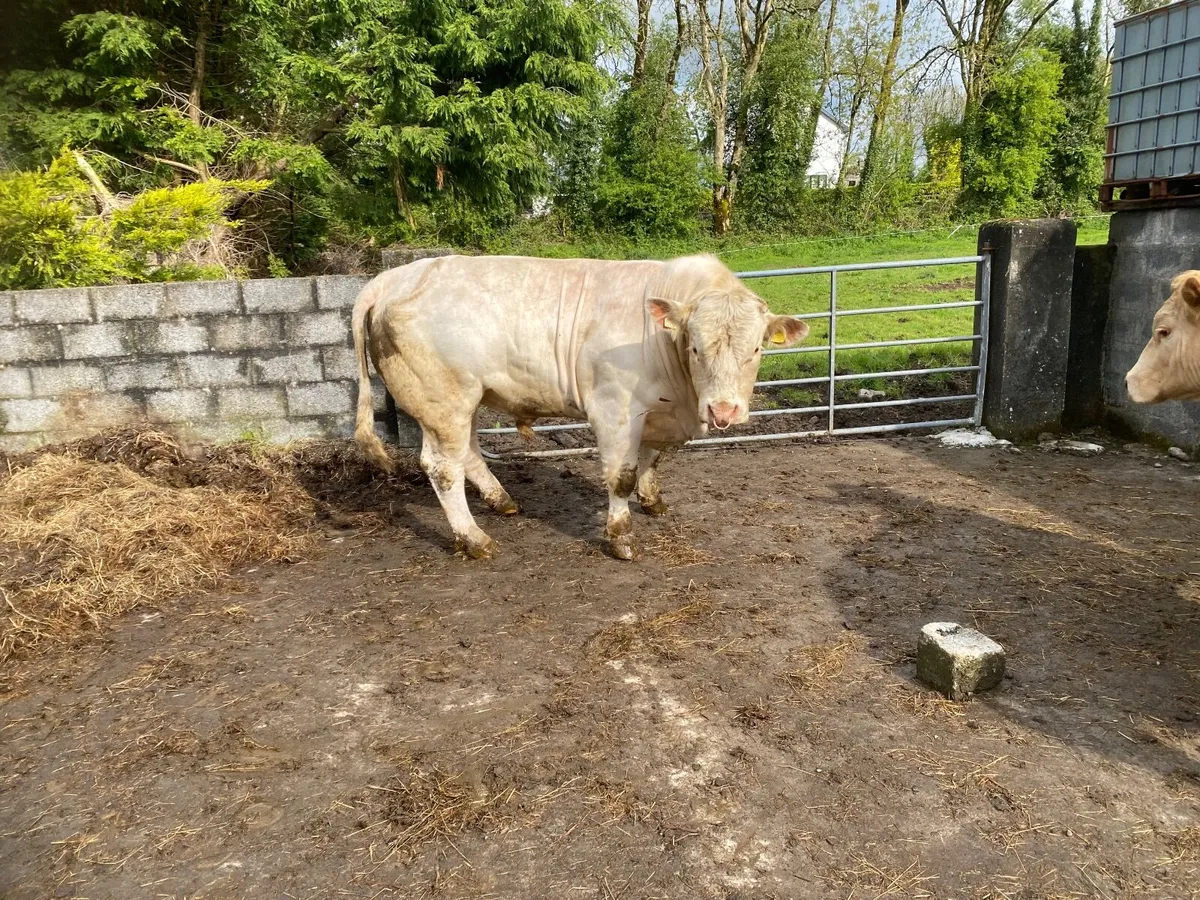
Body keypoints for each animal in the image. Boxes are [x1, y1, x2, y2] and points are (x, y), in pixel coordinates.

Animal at [351, 254, 810, 560]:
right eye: (695, 347)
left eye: (756, 349)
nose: (723, 411)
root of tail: (395, 275)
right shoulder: (614, 408)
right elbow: (621, 477)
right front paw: (621, 536)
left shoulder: (657, 413)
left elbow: (652, 459)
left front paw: (653, 500)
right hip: (442, 398)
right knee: (443, 467)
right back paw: (475, 539)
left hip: (468, 398)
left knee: (468, 452)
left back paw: (502, 501)